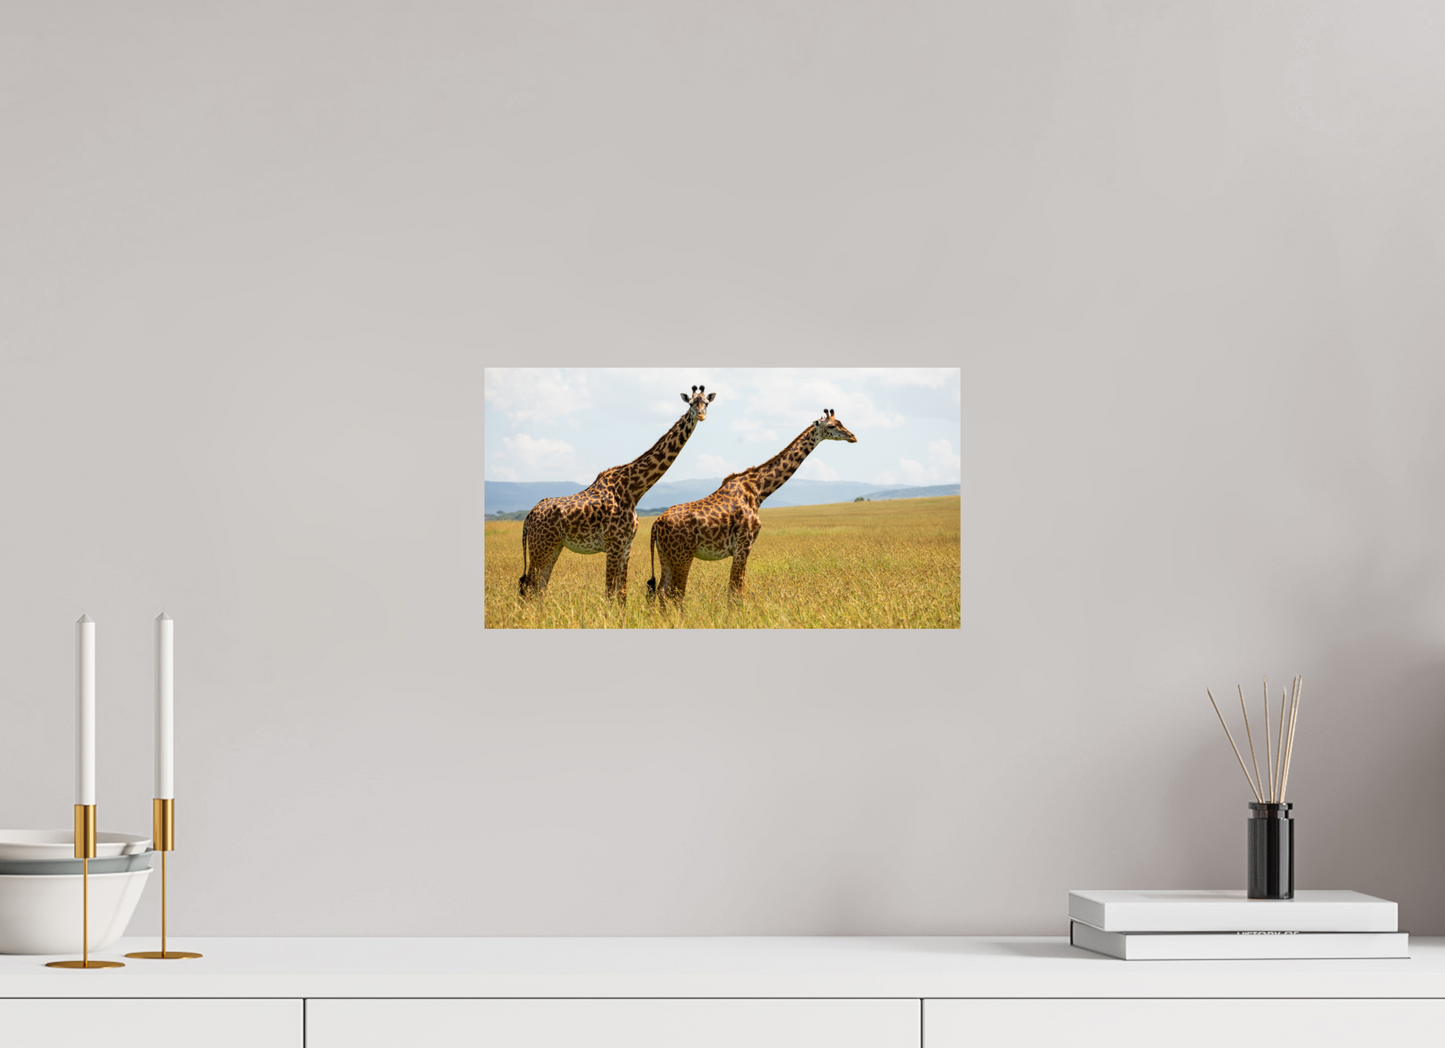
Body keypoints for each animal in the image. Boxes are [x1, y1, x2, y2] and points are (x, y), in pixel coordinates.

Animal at [518, 385, 716, 602]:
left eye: (706, 403)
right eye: (691, 403)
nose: (701, 415)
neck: (633, 490)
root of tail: (529, 517)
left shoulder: (626, 545)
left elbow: (621, 593)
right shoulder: (613, 544)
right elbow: (609, 592)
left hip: (553, 546)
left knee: (539, 586)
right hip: (541, 546)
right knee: (529, 586)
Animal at [646, 409, 857, 604]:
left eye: (841, 422)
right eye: (831, 426)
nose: (853, 436)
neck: (759, 490)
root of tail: (656, 524)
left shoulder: (744, 547)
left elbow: (738, 589)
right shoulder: (743, 544)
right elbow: (735, 592)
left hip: (665, 555)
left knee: (662, 593)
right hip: (683, 555)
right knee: (675, 595)